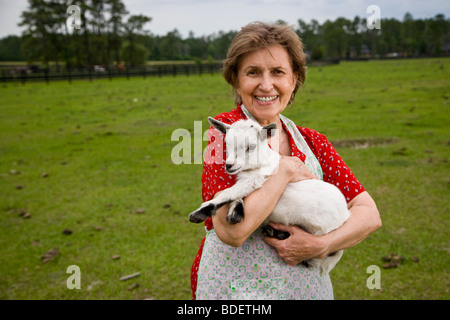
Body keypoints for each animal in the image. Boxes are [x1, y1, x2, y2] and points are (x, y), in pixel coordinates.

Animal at [190, 117, 352, 276]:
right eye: (226, 143)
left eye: (251, 146)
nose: (229, 165)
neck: (261, 163)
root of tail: (346, 216)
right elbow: (237, 194)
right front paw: (235, 212)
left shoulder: (255, 179)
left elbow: (230, 192)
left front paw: (198, 214)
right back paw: (274, 232)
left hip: (320, 233)